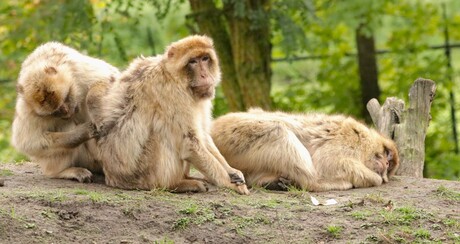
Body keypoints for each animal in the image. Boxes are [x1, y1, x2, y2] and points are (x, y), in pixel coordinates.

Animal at [12, 42, 120, 182]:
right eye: (56, 112)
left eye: (66, 98)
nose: (67, 113)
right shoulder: (27, 109)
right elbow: (27, 141)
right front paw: (81, 133)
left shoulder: (77, 67)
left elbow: (109, 77)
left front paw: (96, 112)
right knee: (65, 127)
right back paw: (62, 172)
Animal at [87, 35, 250, 194]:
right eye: (192, 61)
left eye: (205, 58)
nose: (205, 75)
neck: (174, 76)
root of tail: (112, 177)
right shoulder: (171, 92)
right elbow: (189, 143)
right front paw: (229, 183)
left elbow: (202, 136)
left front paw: (232, 171)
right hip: (142, 175)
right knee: (163, 133)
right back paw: (176, 184)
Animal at [211, 109, 398, 193]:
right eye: (387, 157)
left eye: (389, 166)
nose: (385, 163)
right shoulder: (348, 141)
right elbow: (327, 163)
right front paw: (373, 179)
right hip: (235, 135)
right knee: (278, 130)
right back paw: (315, 183)